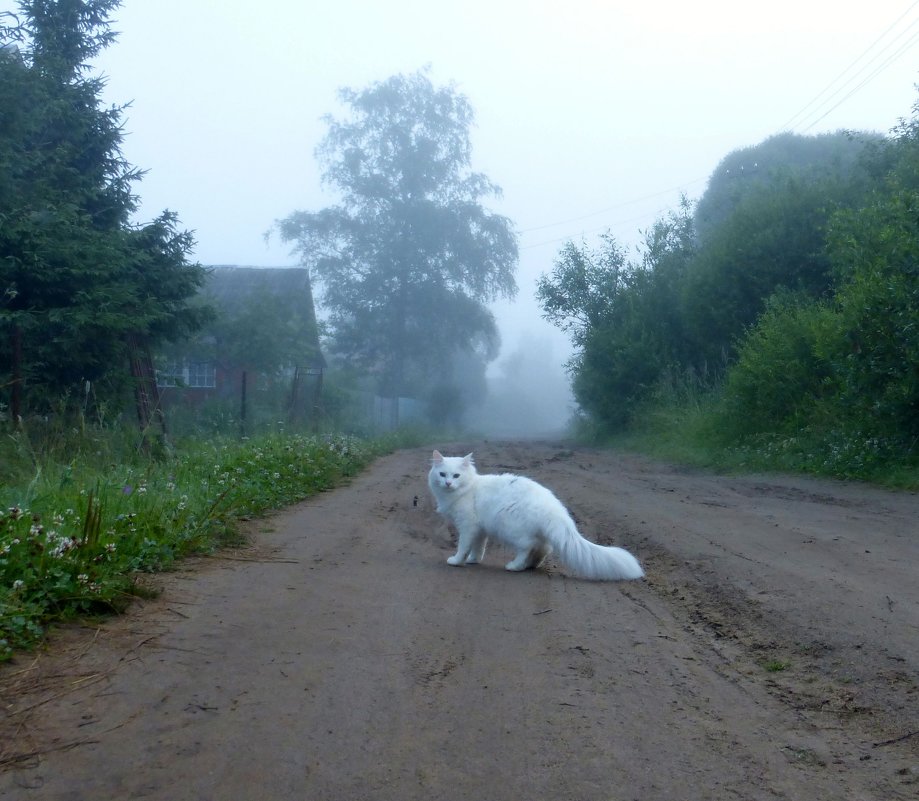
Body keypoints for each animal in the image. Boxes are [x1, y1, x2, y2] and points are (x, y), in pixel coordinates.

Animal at [428, 450, 644, 580]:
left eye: (456, 476)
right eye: (442, 474)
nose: (448, 483)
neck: (467, 489)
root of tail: (554, 507)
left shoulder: (468, 526)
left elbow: (463, 546)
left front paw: (457, 561)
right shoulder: (480, 530)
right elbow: (478, 548)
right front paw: (473, 560)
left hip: (512, 529)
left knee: (527, 548)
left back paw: (515, 566)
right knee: (544, 549)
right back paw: (532, 565)